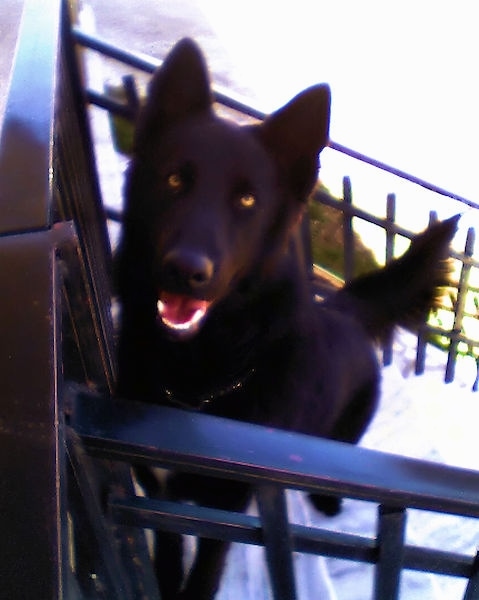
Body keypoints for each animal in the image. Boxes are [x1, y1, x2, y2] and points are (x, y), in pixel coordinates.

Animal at [116, 39, 458, 596]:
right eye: (174, 179)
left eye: (247, 199)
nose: (186, 270)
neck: (196, 386)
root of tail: (344, 306)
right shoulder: (158, 494)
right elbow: (166, 559)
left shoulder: (227, 513)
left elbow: (202, 577)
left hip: (342, 432)